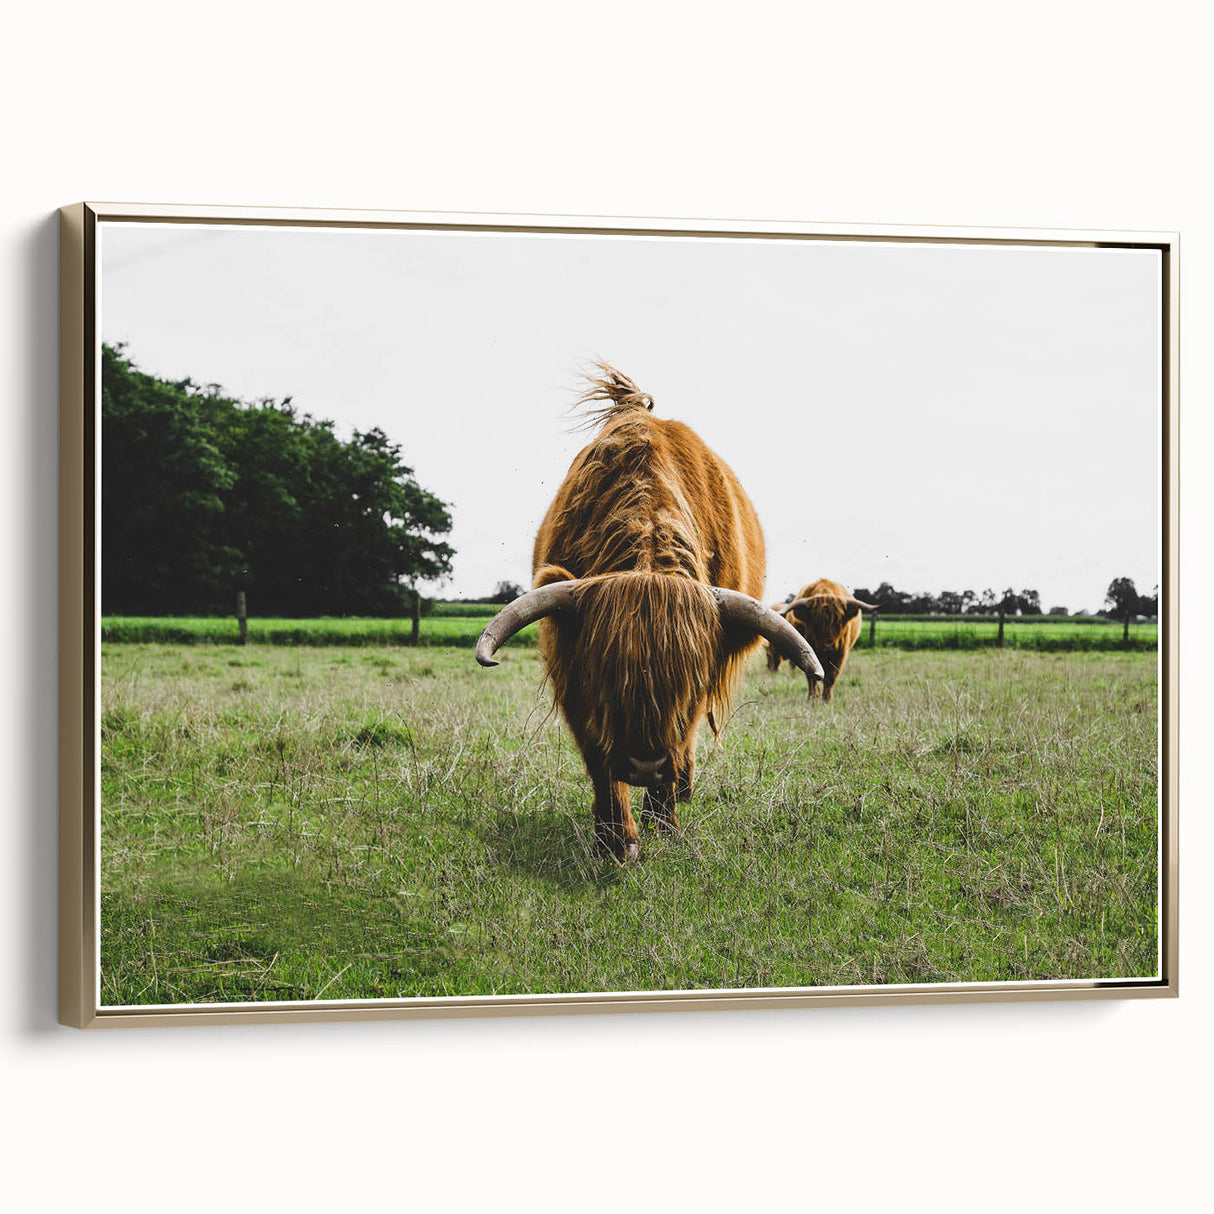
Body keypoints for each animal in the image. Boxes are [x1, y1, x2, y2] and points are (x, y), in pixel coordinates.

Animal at [476, 365, 823, 861]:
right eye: (605, 677)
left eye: (690, 684)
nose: (645, 764)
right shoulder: (573, 676)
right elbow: (600, 761)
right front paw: (616, 840)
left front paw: (664, 823)